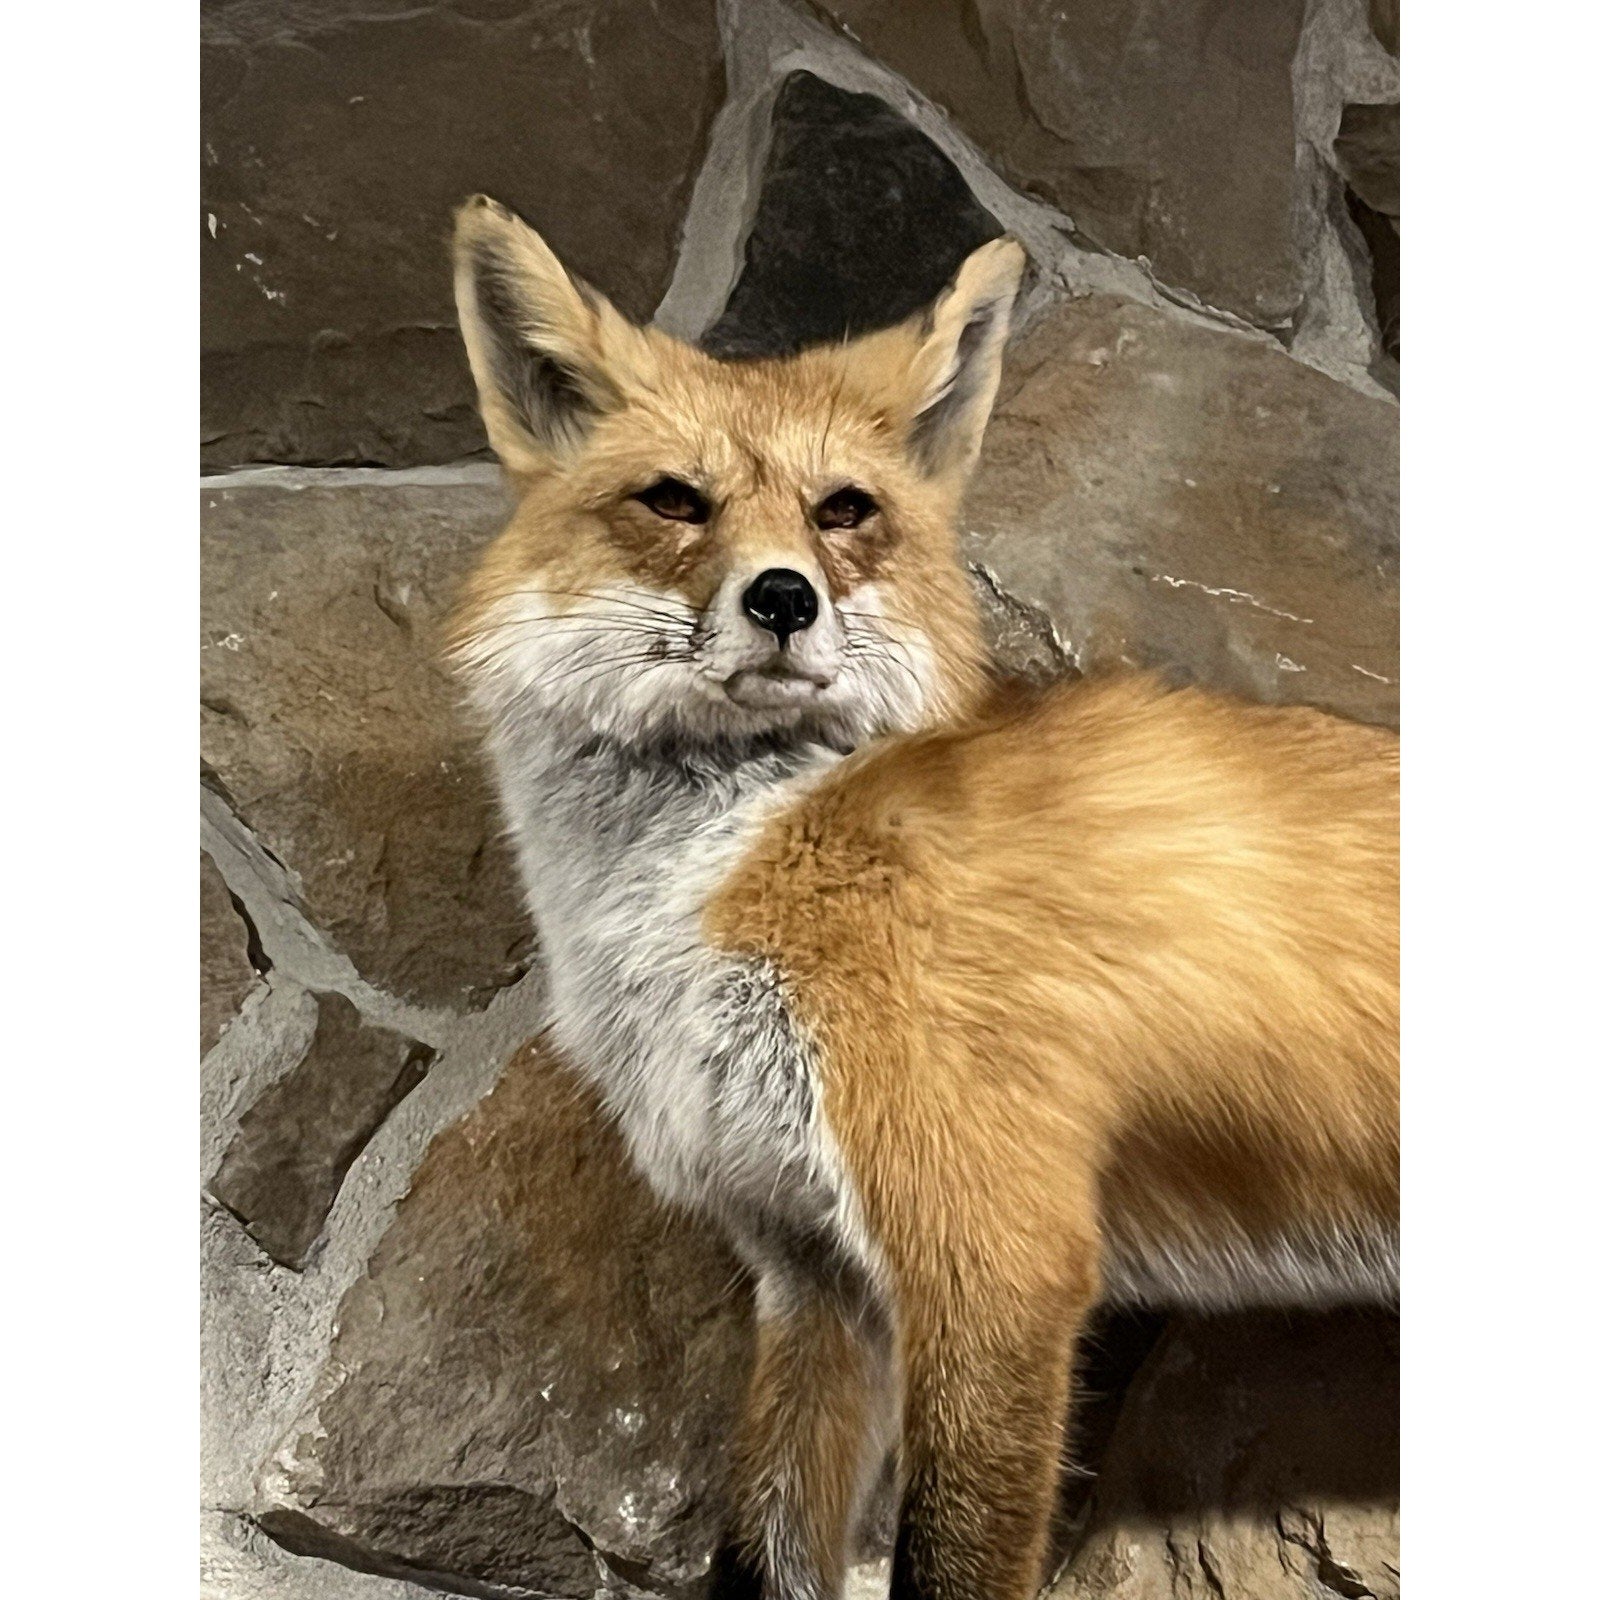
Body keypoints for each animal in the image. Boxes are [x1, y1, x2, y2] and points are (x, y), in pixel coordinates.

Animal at [444, 194, 1398, 1600]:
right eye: (674, 500)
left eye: (843, 511)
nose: (782, 597)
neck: (738, 855)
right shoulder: (813, 1274)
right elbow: (758, 1552)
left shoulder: (994, 1258)